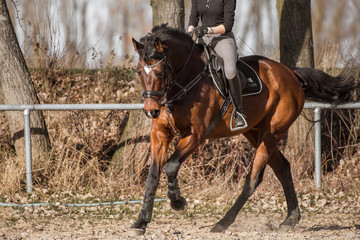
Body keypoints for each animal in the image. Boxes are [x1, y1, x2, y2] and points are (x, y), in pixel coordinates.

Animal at [130, 24, 358, 236]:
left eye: (161, 72)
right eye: (140, 72)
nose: (151, 110)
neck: (185, 81)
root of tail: (290, 73)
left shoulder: (196, 135)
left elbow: (170, 166)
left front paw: (177, 201)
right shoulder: (160, 134)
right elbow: (152, 176)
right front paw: (141, 222)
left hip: (273, 132)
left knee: (253, 179)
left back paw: (223, 222)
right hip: (255, 132)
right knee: (283, 167)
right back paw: (291, 218)